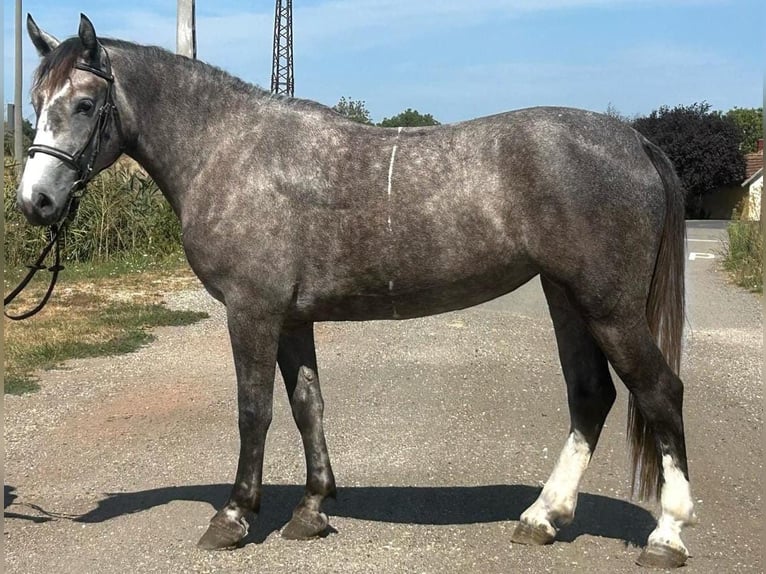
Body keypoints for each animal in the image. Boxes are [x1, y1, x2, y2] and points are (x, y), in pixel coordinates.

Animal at [19, 14, 704, 572]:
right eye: (36, 100)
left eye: (85, 104)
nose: (35, 202)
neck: (230, 151)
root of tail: (632, 139)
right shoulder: (292, 319)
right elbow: (307, 406)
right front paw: (312, 510)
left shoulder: (252, 312)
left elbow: (253, 411)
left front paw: (234, 517)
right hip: (567, 299)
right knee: (591, 396)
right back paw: (542, 517)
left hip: (609, 307)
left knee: (659, 393)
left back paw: (667, 535)